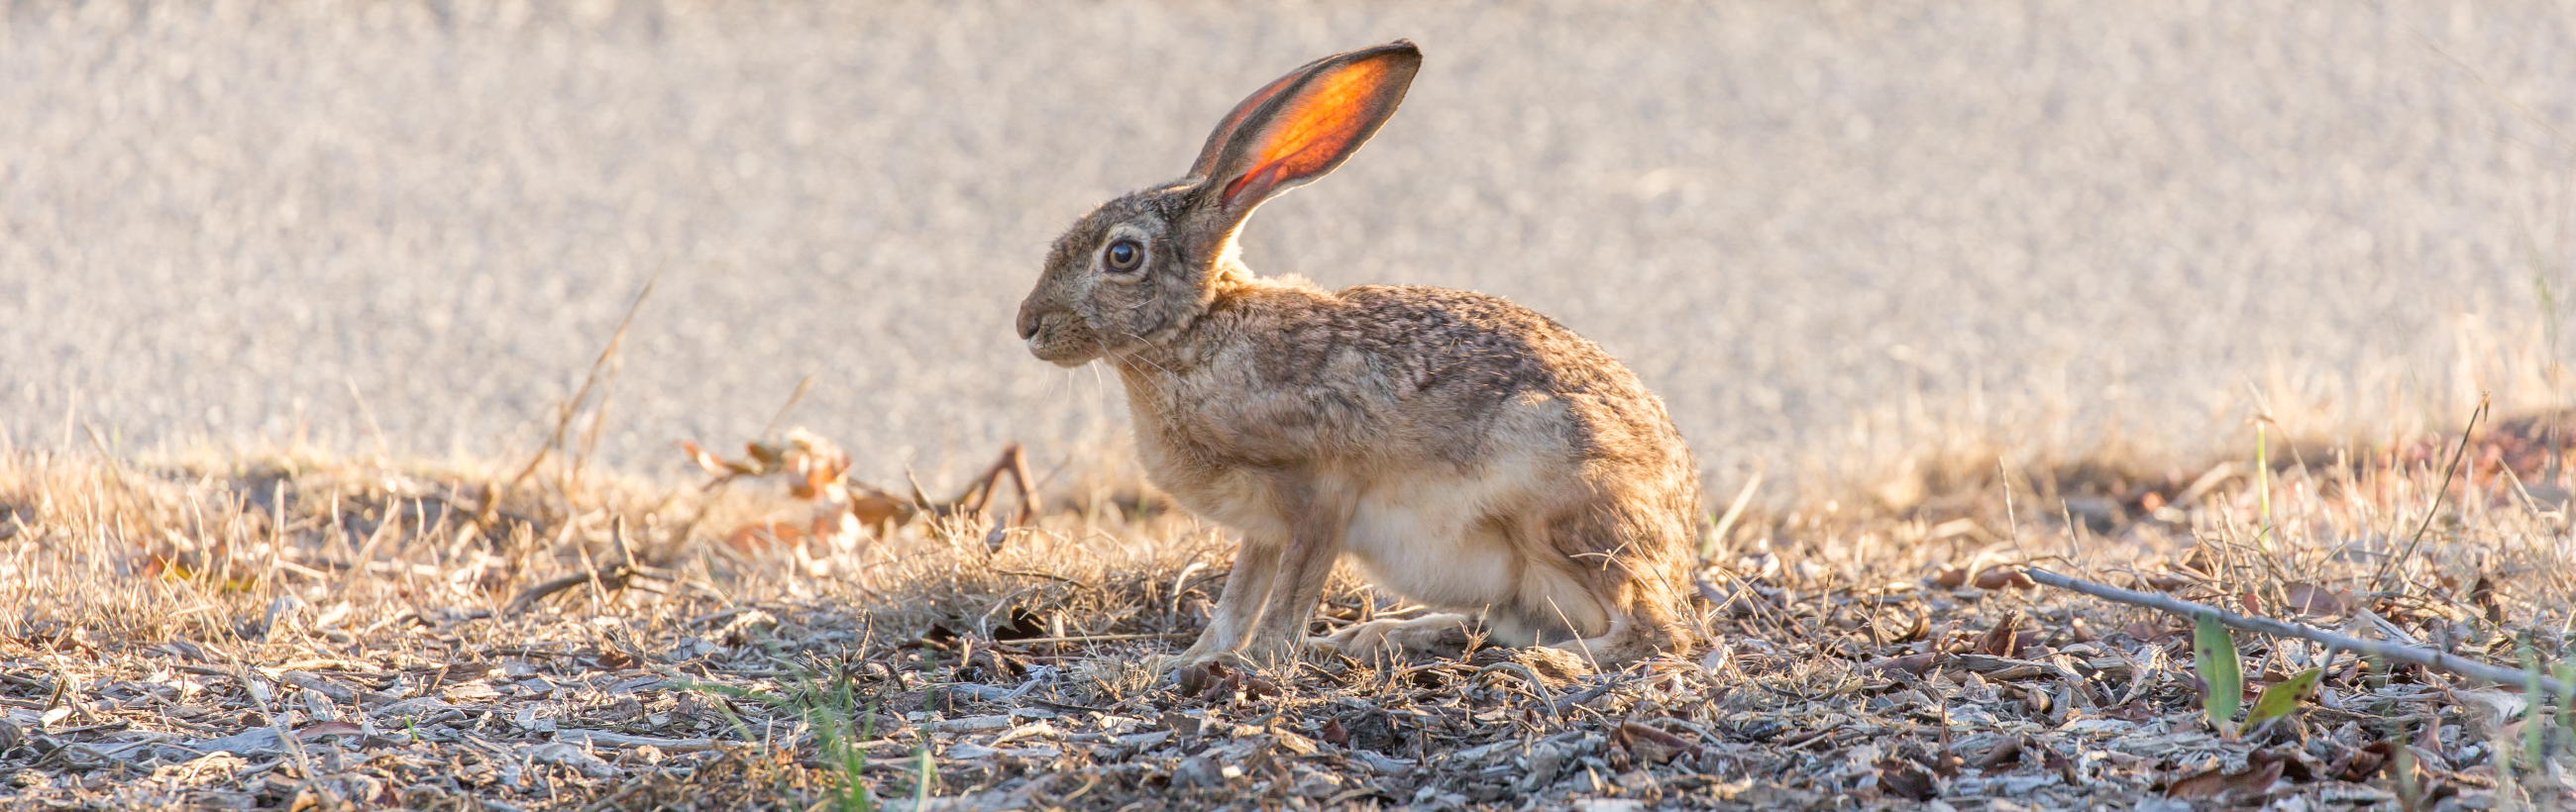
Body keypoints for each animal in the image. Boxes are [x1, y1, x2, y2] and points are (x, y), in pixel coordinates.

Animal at [1014, 40, 1701, 669]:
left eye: (1122, 255)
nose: (1027, 325)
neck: (1202, 329)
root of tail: (1681, 541)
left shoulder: (1321, 491)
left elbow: (1288, 595)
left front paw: (1256, 662)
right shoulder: (1263, 527)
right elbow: (1238, 597)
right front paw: (1192, 659)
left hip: (1557, 510)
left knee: (1657, 633)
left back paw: (1551, 662)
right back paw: (1381, 635)